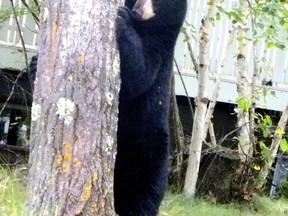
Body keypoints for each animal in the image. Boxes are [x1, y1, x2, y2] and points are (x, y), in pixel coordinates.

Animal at [115, 0, 187, 215]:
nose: (138, 10)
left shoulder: (160, 48)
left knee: (143, 199)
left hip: (149, 162)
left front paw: (123, 18)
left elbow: (139, 76)